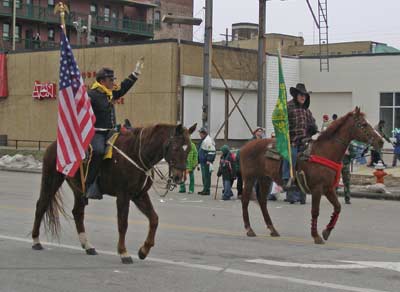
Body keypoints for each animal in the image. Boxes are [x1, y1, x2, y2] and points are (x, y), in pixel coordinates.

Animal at [31, 122, 197, 264]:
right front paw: (123, 252)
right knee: (41, 205)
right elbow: (123, 223)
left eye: (188, 149)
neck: (136, 153)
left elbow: (154, 219)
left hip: (79, 188)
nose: (179, 177)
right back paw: (36, 241)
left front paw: (144, 250)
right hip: (51, 180)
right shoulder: (123, 195)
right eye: (175, 148)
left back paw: (88, 246)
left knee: (77, 212)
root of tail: (53, 144)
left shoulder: (139, 195)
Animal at [239, 107, 382, 244]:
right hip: (250, 178)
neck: (324, 152)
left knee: (263, 201)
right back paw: (249, 229)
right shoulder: (317, 189)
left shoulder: (328, 188)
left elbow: (338, 207)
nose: (380, 141)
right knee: (245, 200)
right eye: (363, 124)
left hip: (265, 179)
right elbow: (315, 211)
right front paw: (316, 236)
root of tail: (246, 146)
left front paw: (326, 231)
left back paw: (272, 229)